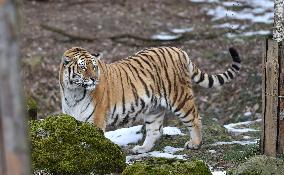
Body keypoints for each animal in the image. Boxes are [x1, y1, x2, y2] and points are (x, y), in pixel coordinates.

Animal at [58, 46, 241, 153]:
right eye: (83, 68)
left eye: (95, 67)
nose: (94, 79)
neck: (73, 91)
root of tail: (178, 50)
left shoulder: (96, 119)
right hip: (154, 108)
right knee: (155, 130)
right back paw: (142, 149)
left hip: (179, 98)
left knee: (195, 119)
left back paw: (195, 144)